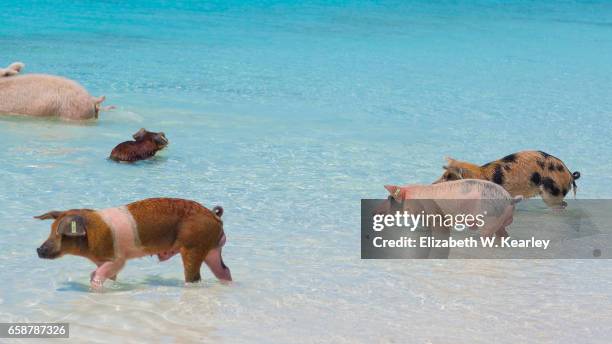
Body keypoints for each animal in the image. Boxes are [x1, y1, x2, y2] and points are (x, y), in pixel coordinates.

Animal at [35, 198, 232, 288]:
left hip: (194, 247)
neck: (92, 233)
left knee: (194, 277)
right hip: (212, 250)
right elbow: (109, 275)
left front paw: (94, 284)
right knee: (224, 270)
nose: (38, 249)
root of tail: (214, 215)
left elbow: (98, 274)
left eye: (61, 234)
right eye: (50, 230)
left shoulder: (118, 259)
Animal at [432, 151, 580, 210]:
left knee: (562, 205)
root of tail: (570, 174)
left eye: (448, 177)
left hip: (552, 192)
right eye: (444, 175)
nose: (432, 184)